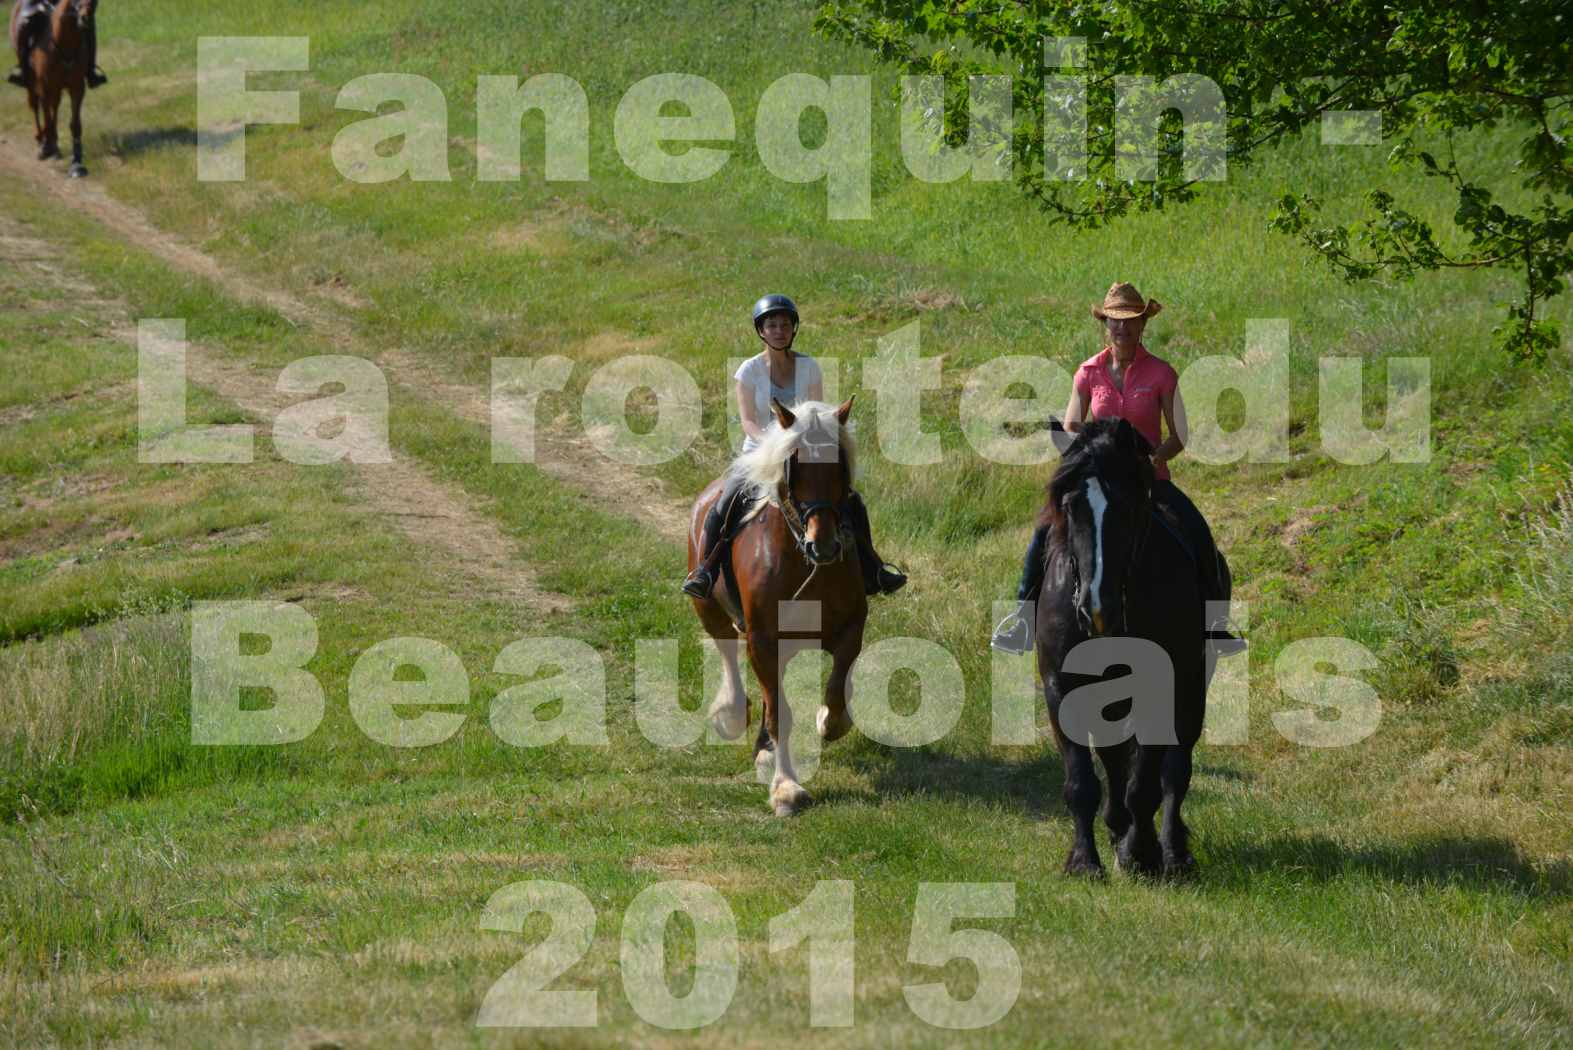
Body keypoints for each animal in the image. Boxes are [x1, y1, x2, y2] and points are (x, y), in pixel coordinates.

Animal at [10, 0, 95, 175]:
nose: (86, 18)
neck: (63, 41)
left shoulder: (77, 87)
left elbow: (75, 124)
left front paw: (77, 163)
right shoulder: (44, 85)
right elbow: (46, 116)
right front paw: (46, 148)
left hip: (56, 88)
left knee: (53, 107)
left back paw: (54, 146)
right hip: (32, 84)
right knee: (36, 107)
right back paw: (42, 141)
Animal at [685, 397, 868, 817]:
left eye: (840, 466)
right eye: (794, 467)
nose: (825, 546)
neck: (801, 560)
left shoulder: (851, 627)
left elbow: (836, 691)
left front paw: (829, 721)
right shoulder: (764, 639)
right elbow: (779, 712)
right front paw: (786, 789)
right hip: (710, 609)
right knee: (730, 656)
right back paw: (733, 716)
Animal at [1038, 418, 1233, 880]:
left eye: (1127, 507)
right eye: (1070, 505)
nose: (1097, 610)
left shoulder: (1162, 685)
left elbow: (1145, 783)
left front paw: (1140, 854)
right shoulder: (1061, 685)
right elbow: (1082, 781)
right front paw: (1084, 861)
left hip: (1193, 688)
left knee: (1175, 770)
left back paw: (1173, 851)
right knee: (1115, 758)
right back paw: (1116, 827)